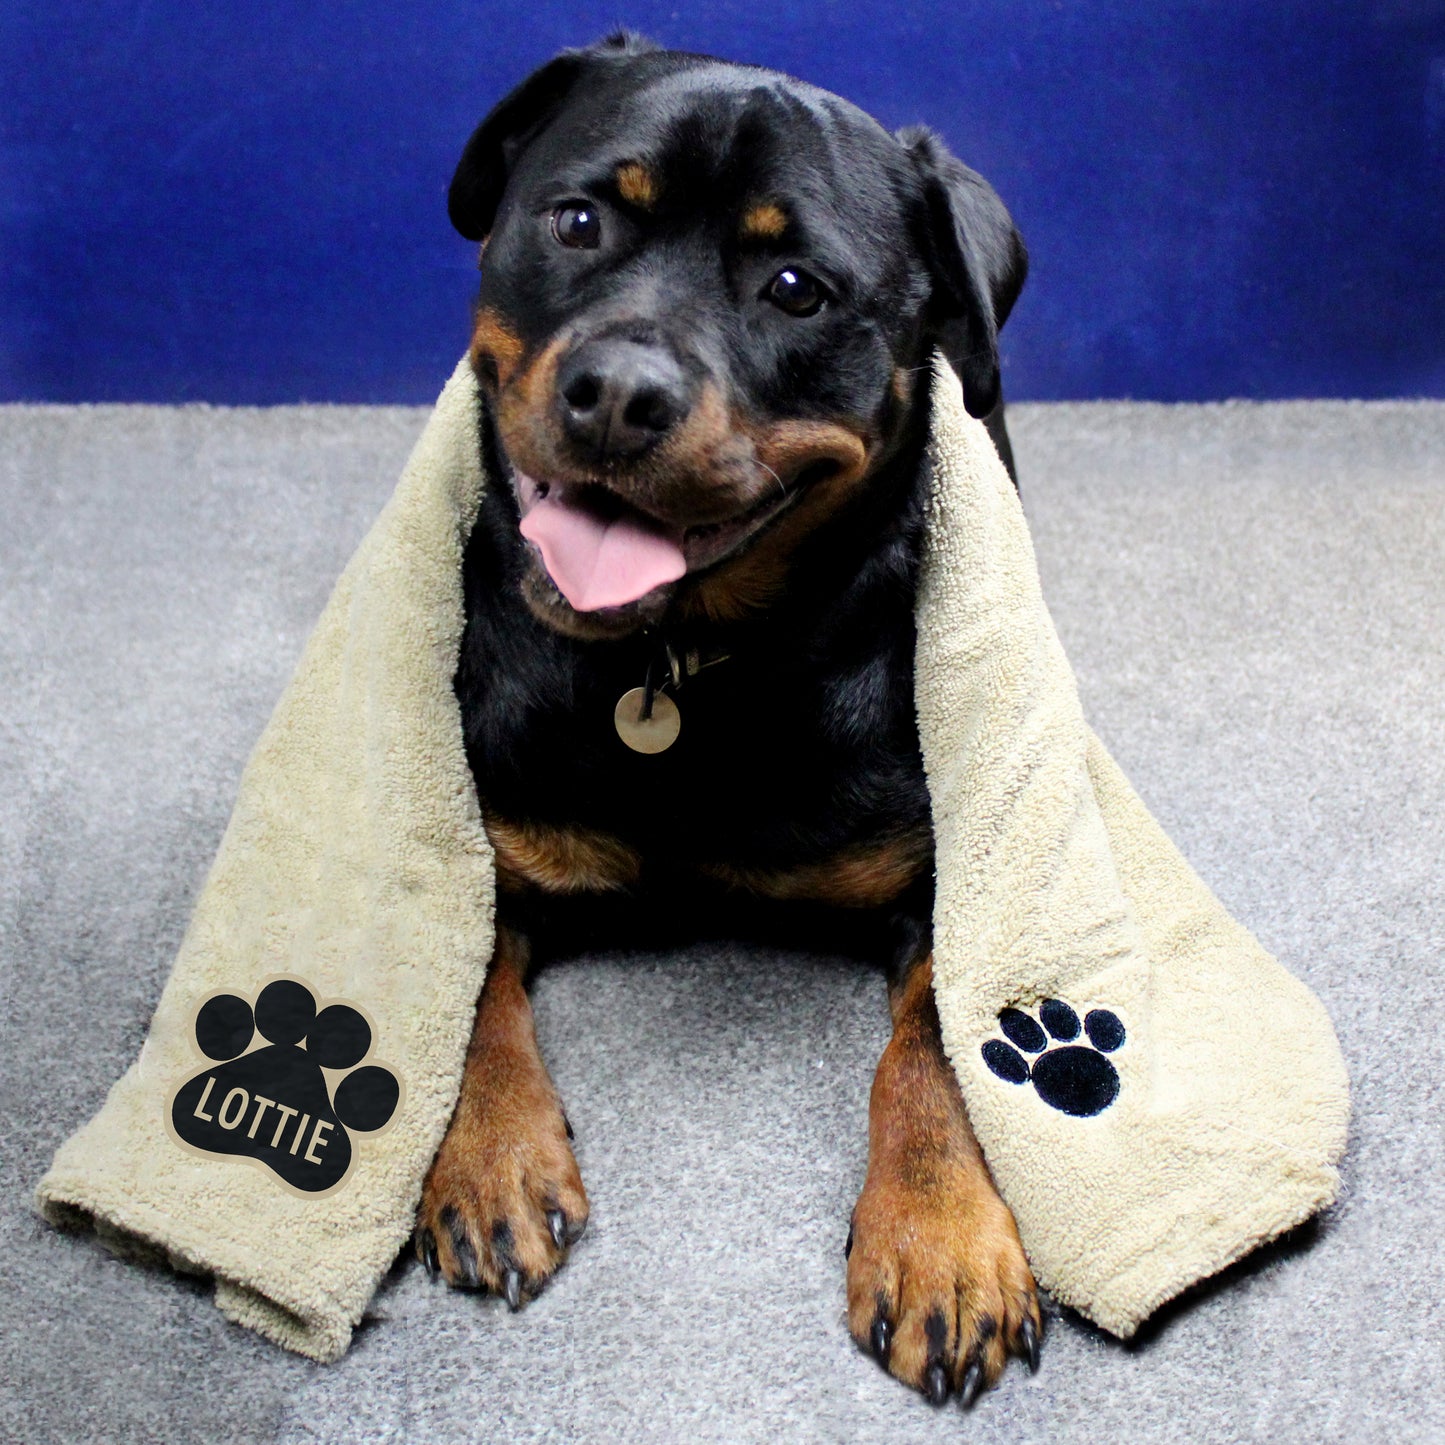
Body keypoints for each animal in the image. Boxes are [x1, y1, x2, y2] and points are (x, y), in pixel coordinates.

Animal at [419, 33, 1040, 1410]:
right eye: (578, 220)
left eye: (795, 288)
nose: (615, 391)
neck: (676, 664)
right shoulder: (493, 838)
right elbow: (466, 977)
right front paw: (489, 1154)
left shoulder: (940, 876)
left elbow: (936, 1039)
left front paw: (939, 1237)